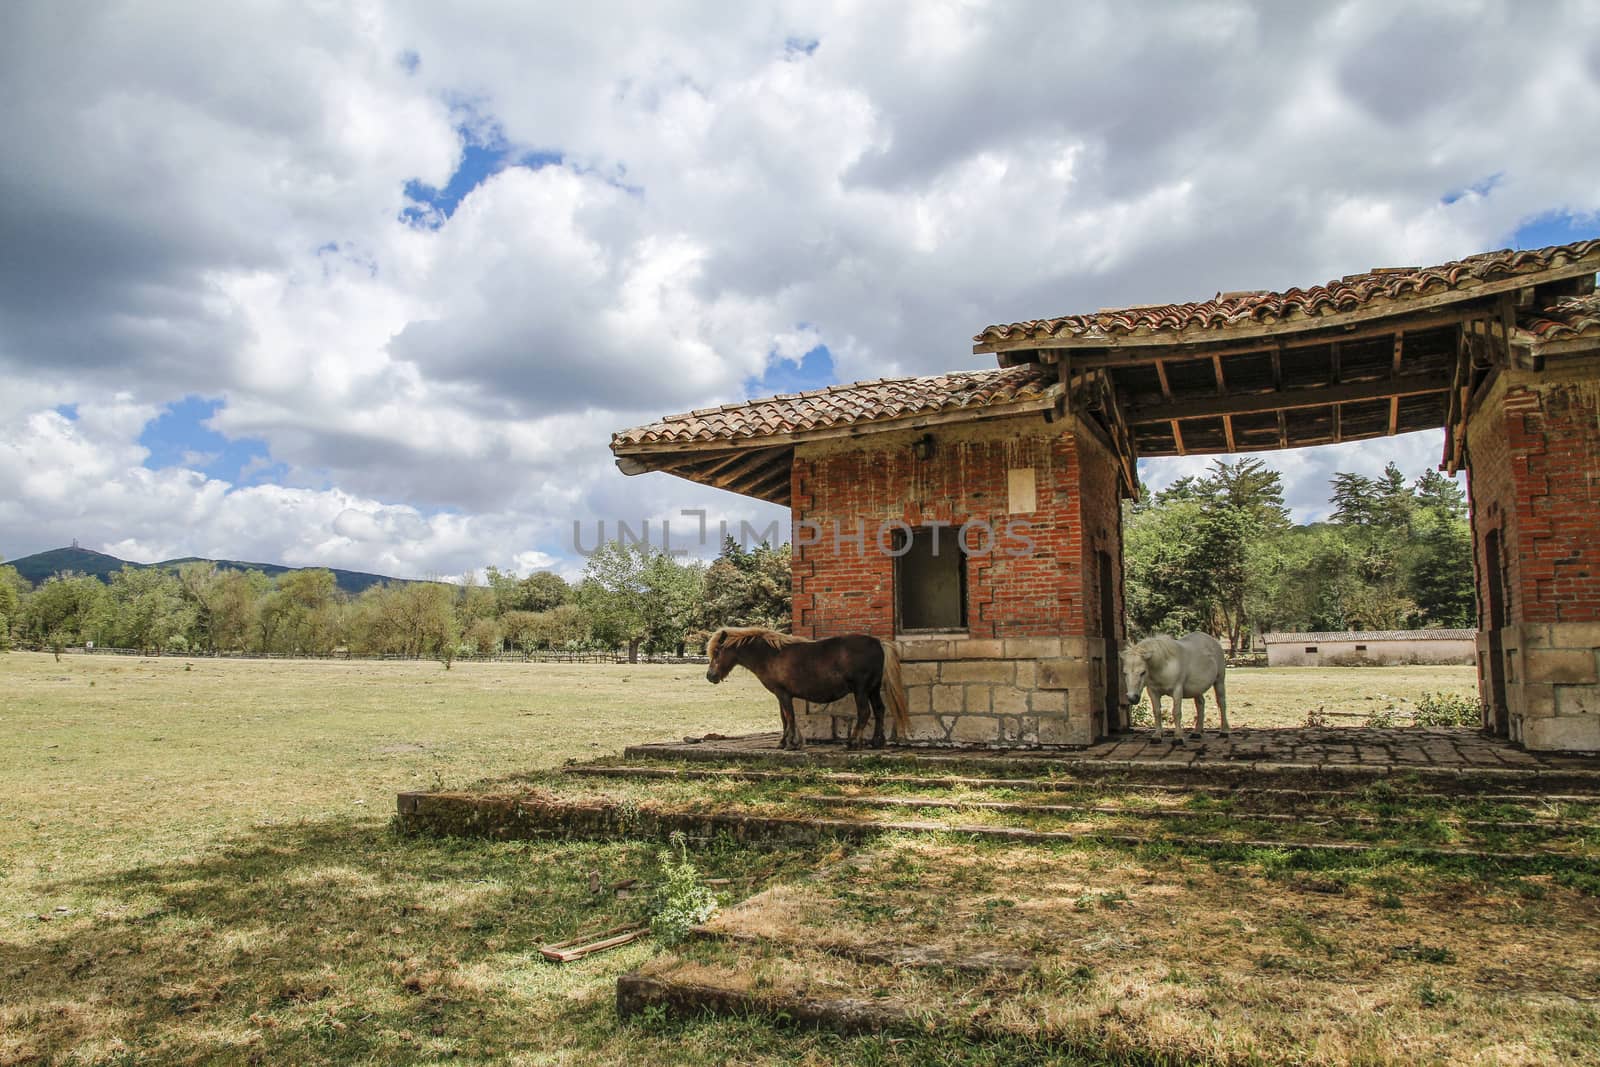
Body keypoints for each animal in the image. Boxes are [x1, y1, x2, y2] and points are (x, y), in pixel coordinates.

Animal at [707, 627, 908, 751]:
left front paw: (792, 743)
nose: (710, 676)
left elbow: (789, 717)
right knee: (879, 710)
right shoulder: (781, 695)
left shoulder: (784, 694)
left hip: (861, 690)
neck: (770, 654)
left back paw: (853, 743)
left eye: (717, 651)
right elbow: (784, 718)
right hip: (873, 689)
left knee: (865, 713)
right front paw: (784, 742)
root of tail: (878, 643)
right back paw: (876, 742)